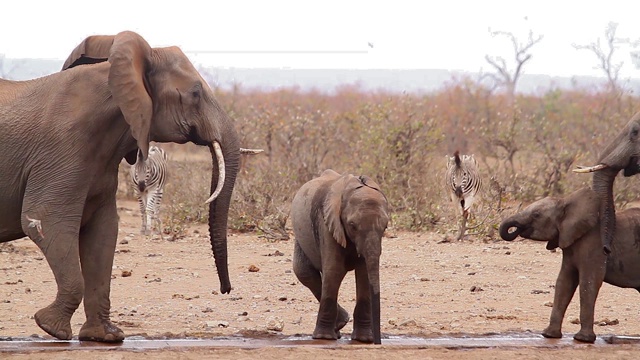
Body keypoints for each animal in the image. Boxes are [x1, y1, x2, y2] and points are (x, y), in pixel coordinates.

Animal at [0, 30, 240, 340]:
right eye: (196, 93)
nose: (226, 290)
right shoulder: (60, 151)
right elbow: (47, 221)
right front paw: (51, 327)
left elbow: (103, 232)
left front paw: (105, 337)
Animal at [292, 169, 390, 344]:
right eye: (352, 225)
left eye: (385, 226)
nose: (377, 343)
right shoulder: (327, 224)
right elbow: (334, 270)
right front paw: (324, 338)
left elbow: (364, 274)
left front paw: (363, 339)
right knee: (304, 273)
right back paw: (339, 326)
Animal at [500, 188, 640, 344]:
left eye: (536, 215)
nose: (514, 230)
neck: (566, 202)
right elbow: (564, 281)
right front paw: (549, 335)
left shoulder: (595, 245)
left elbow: (588, 282)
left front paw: (582, 339)